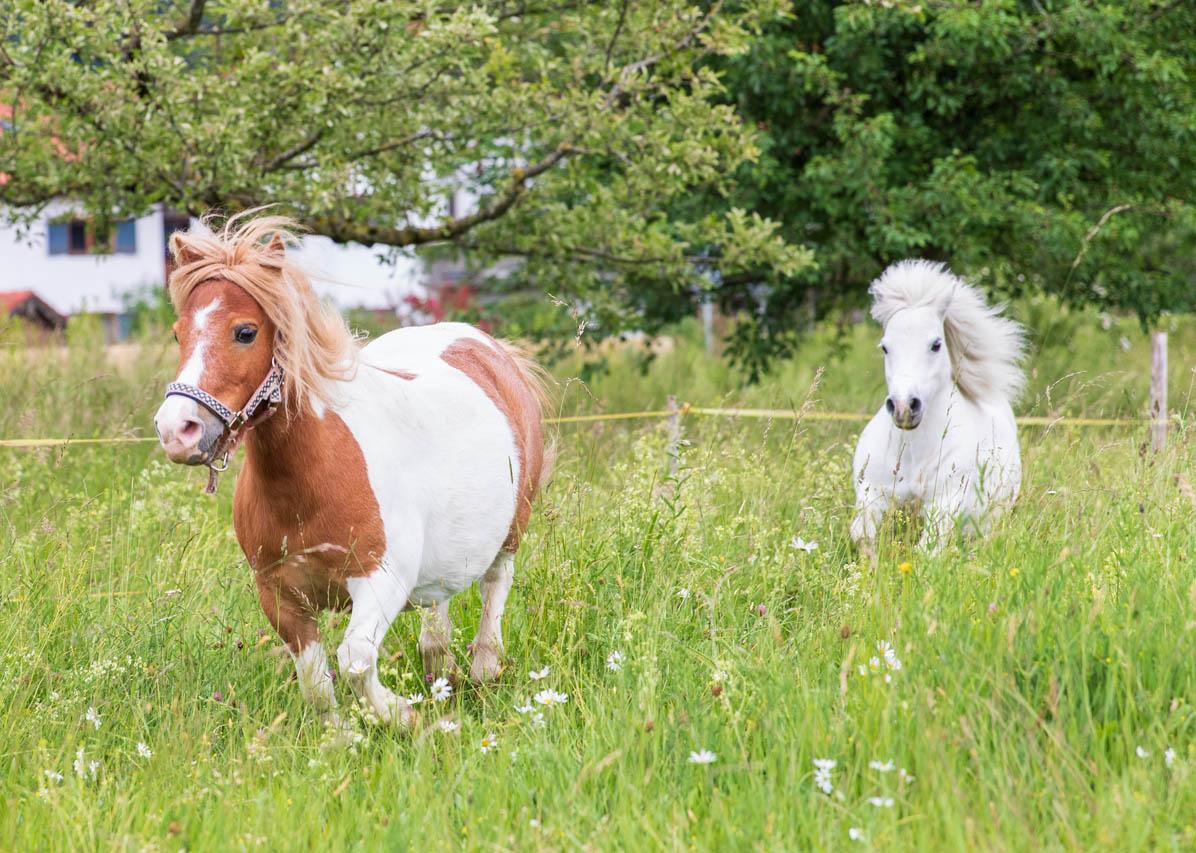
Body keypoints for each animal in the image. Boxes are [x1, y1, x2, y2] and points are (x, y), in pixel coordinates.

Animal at [154, 214, 550, 727]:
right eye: (178, 333)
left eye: (244, 332)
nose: (176, 430)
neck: (313, 477)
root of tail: (489, 347)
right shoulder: (279, 596)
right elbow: (316, 681)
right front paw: (342, 733)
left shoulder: (380, 581)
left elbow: (355, 660)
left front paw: (406, 717)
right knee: (438, 612)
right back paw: (440, 675)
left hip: (511, 531)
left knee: (495, 587)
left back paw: (482, 668)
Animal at [851, 259, 1028, 552]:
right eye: (885, 347)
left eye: (936, 344)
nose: (904, 407)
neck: (913, 452)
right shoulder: (871, 496)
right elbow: (862, 535)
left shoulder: (945, 505)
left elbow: (926, 550)